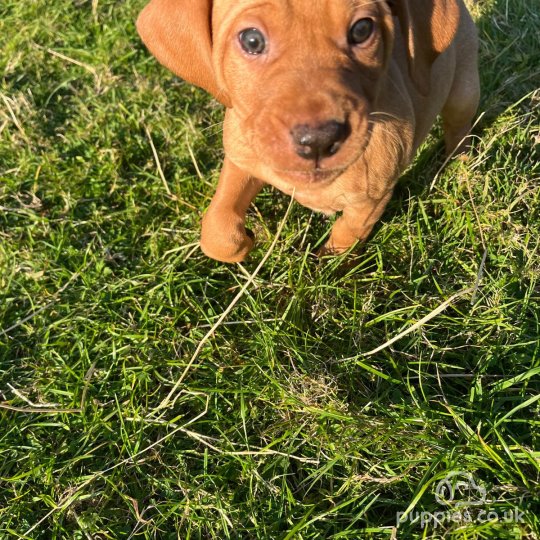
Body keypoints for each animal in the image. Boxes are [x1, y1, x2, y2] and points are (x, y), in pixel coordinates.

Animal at [137, 0, 478, 262]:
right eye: (251, 40)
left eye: (362, 30)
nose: (318, 141)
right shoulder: (242, 158)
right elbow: (217, 226)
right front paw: (243, 241)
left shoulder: (372, 200)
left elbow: (346, 235)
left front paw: (329, 267)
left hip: (462, 92)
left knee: (459, 128)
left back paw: (457, 166)